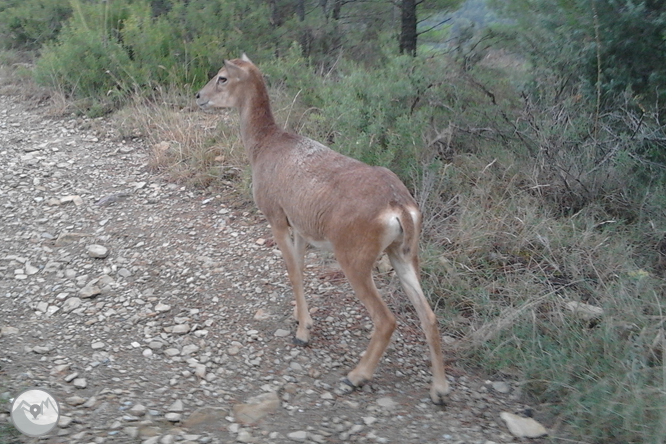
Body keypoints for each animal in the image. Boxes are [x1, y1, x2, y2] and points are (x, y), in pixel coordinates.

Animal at [195, 53, 448, 404]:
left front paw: (302, 333)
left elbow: (292, 271)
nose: (199, 96)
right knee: (429, 316)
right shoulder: (301, 227)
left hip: (354, 256)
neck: (264, 146)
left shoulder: (275, 215)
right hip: (404, 253)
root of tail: (400, 208)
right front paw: (300, 317)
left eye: (222, 77)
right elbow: (301, 269)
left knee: (386, 319)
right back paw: (440, 389)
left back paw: (355, 377)